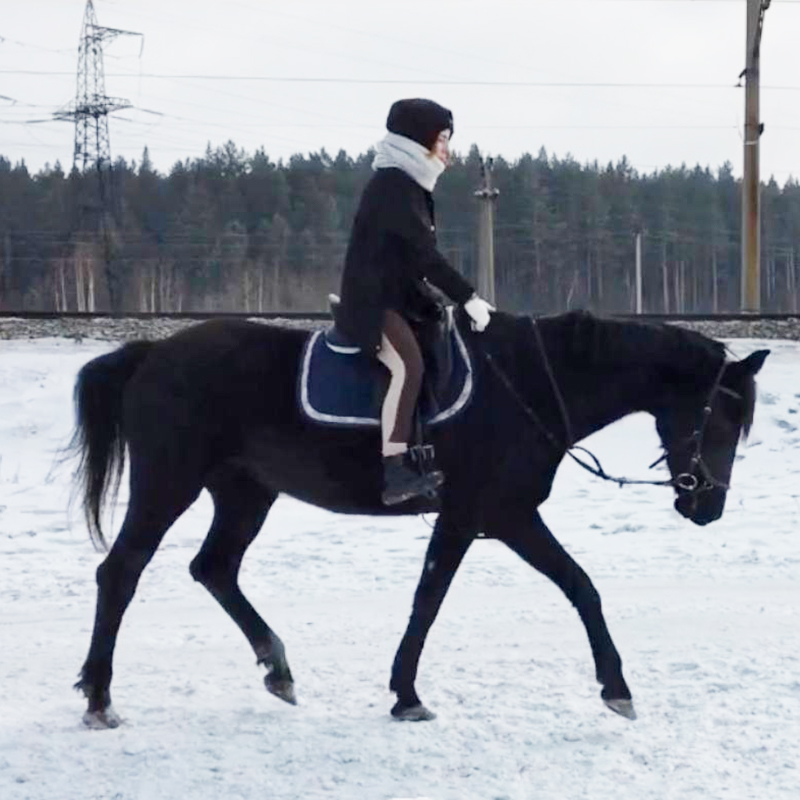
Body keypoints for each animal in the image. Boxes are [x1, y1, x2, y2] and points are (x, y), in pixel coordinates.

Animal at [73, 310, 768, 728]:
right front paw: (615, 687)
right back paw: (100, 696)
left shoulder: (486, 517)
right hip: (170, 483)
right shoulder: (493, 513)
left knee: (214, 568)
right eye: (725, 415)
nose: (707, 506)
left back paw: (278, 668)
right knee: (120, 573)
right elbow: (471, 596)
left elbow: (511, 591)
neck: (529, 386)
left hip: (246, 493)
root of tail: (152, 354)